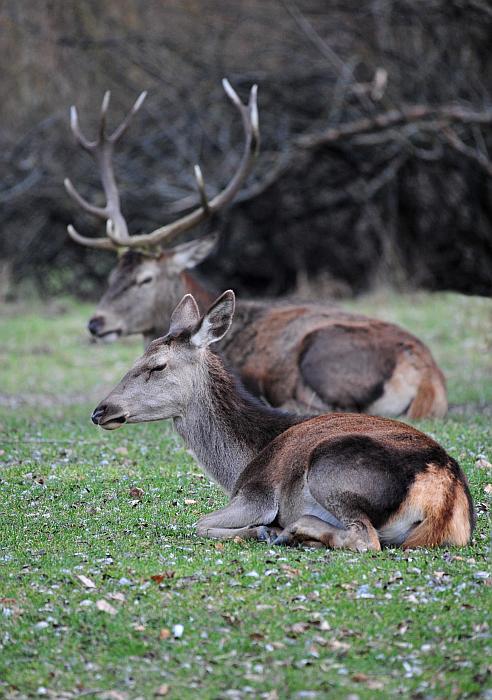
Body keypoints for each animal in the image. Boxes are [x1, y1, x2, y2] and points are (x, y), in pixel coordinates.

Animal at [91, 290, 472, 552]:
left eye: (157, 366)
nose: (101, 410)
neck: (238, 465)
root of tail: (443, 496)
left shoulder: (256, 494)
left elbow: (199, 523)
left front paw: (262, 530)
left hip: (331, 468)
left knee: (365, 538)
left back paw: (291, 530)